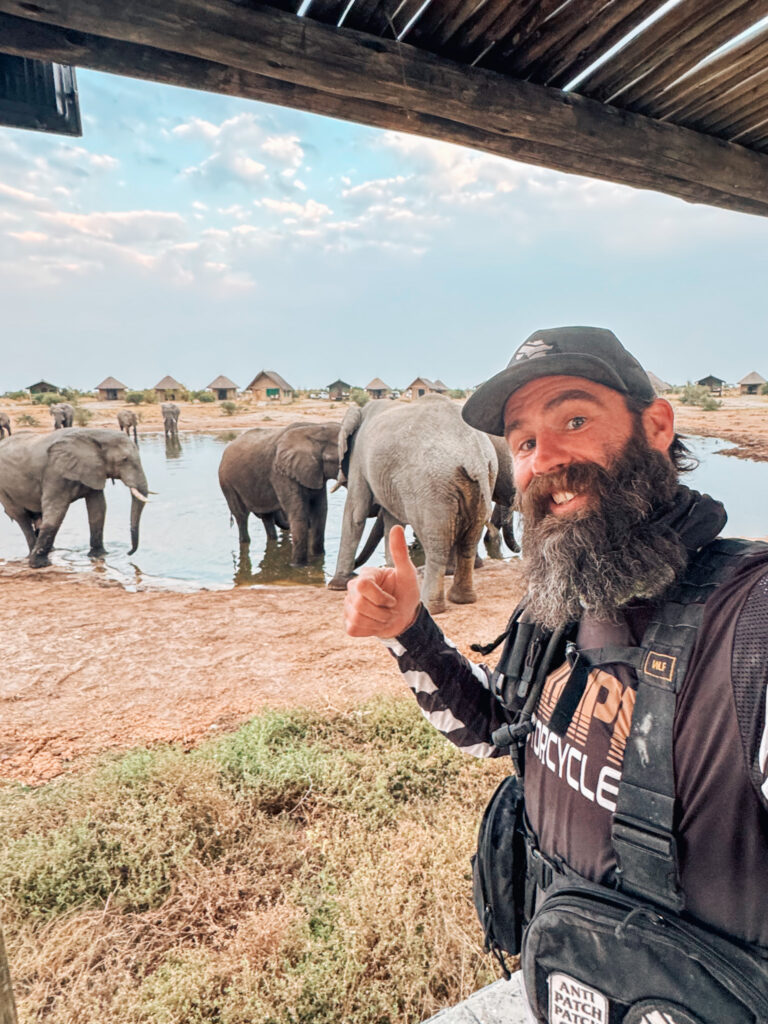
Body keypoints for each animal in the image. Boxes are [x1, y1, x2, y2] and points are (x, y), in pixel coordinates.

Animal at [0, 428, 149, 568]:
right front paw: (40, 565)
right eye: (125, 460)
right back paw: (37, 556)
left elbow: (98, 509)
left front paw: (100, 555)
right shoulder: (55, 472)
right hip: (4, 489)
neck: (93, 433)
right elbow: (56, 512)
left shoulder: (93, 471)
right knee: (21, 517)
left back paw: (52, 551)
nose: (129, 553)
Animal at [218, 421, 340, 566]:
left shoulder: (315, 473)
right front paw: (298, 566)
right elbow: (299, 513)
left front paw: (318, 560)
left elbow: (320, 511)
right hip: (227, 483)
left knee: (267, 517)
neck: (314, 428)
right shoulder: (280, 473)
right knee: (242, 516)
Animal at [327, 394, 496, 614]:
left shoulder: (358, 456)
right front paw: (393, 576)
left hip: (432, 486)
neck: (361, 410)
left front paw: (337, 585)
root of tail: (475, 456)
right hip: (483, 481)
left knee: (436, 545)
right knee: (469, 542)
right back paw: (462, 599)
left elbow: (356, 511)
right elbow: (392, 520)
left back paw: (430, 606)